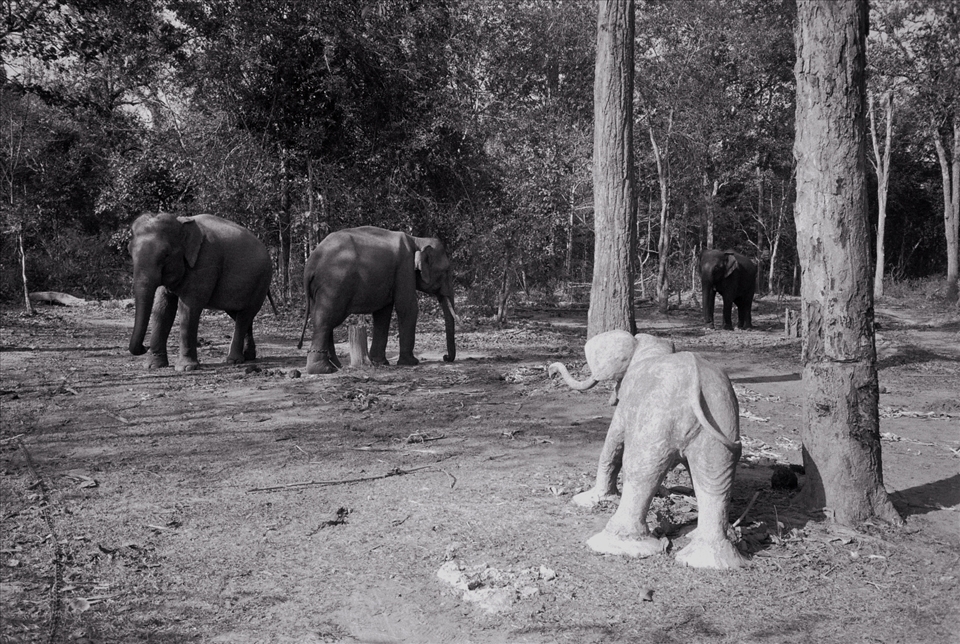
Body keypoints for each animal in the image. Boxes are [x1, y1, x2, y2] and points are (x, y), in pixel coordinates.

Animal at [128, 212, 272, 371]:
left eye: (166, 255)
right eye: (130, 253)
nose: (143, 347)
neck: (181, 224)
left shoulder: (205, 262)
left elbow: (189, 308)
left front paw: (186, 368)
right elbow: (163, 309)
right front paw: (153, 366)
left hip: (261, 280)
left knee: (245, 315)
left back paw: (233, 360)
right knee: (239, 314)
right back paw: (248, 357)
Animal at [298, 226, 457, 374]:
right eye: (446, 271)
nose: (445, 357)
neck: (417, 240)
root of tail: (310, 264)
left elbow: (383, 313)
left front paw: (380, 362)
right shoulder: (404, 268)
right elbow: (407, 306)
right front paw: (411, 362)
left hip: (319, 291)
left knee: (324, 320)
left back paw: (335, 366)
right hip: (333, 285)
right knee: (324, 320)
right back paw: (322, 369)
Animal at [549, 331, 744, 569]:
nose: (551, 371)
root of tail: (695, 385)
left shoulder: (627, 404)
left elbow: (613, 442)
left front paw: (587, 500)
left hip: (656, 419)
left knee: (642, 472)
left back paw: (613, 544)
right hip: (721, 417)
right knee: (715, 480)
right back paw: (708, 561)